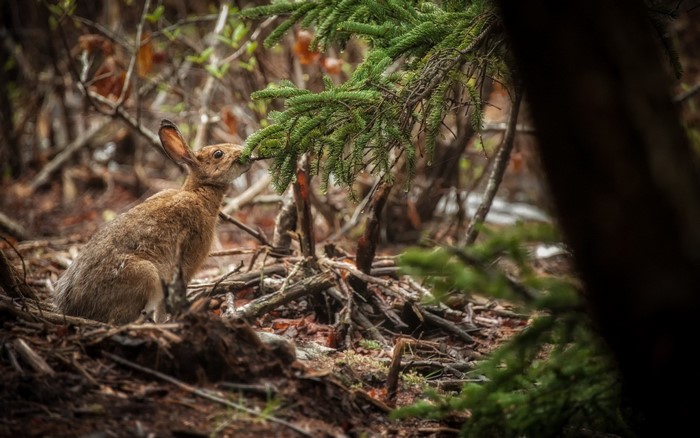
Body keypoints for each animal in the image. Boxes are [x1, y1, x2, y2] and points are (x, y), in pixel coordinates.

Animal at [54, 119, 251, 324]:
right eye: (218, 154)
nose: (245, 153)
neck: (198, 192)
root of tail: (74, 308)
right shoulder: (186, 264)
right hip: (145, 276)